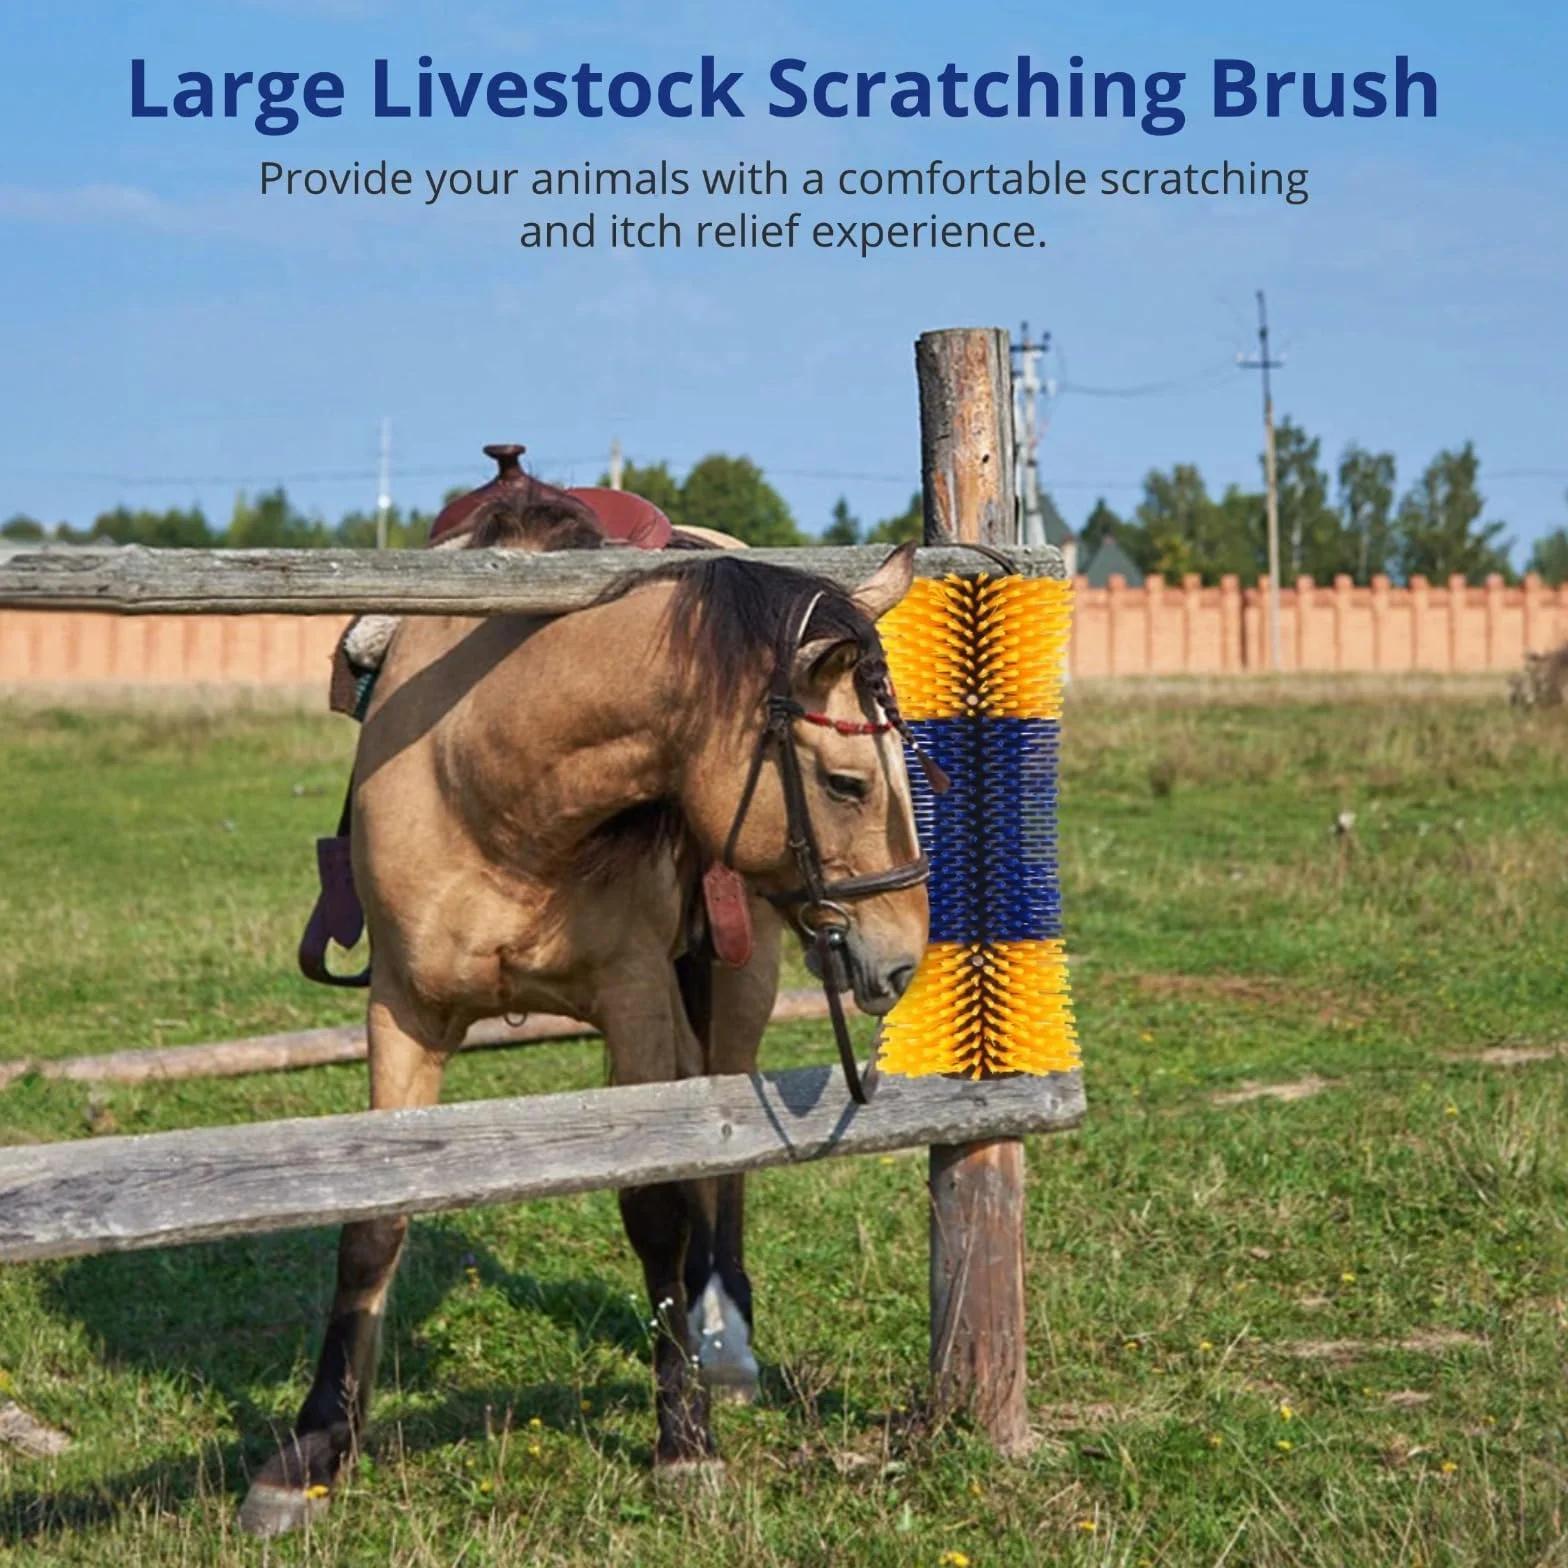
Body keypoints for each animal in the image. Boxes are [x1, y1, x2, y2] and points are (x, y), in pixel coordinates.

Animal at [238, 509, 929, 1536]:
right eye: (847, 783)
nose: (903, 956)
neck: (491, 790)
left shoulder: (635, 1003)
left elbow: (655, 1212)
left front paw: (683, 1442)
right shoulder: (401, 1011)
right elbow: (373, 1222)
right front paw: (315, 1449)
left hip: (739, 986)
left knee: (721, 1165)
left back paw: (724, 1342)